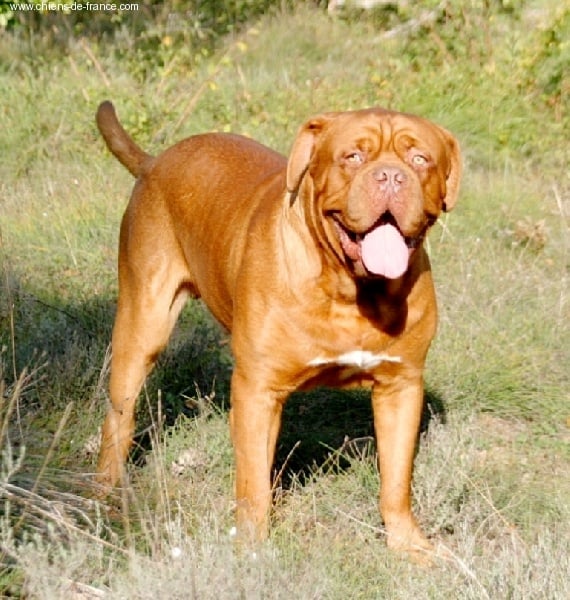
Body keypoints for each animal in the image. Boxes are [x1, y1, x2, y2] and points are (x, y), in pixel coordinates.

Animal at [95, 101, 460, 560]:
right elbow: (253, 483)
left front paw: (409, 546)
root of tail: (154, 162)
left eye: (420, 159)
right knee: (119, 417)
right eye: (353, 156)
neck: (350, 290)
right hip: (142, 325)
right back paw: (104, 492)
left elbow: (396, 480)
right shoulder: (258, 389)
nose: (391, 177)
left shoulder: (401, 386)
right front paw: (252, 549)